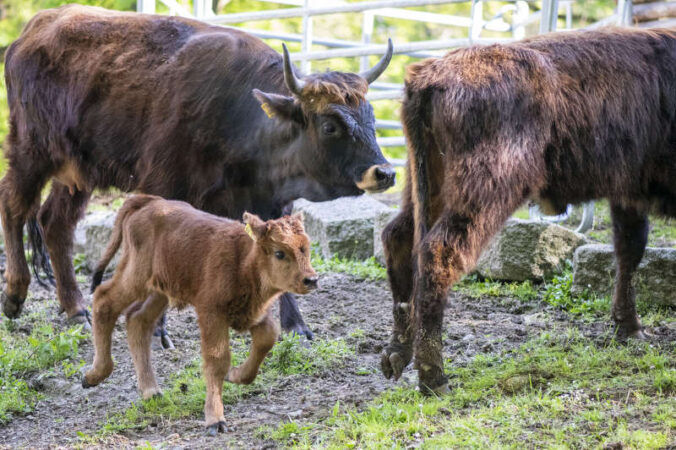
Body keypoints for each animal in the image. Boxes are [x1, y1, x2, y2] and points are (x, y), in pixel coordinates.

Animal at [0, 3, 394, 342]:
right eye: (330, 125)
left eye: (371, 118)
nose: (385, 173)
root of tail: (32, 32)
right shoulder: (164, 188)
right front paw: (157, 329)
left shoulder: (268, 203)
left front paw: (296, 326)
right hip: (32, 151)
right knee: (15, 206)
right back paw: (15, 295)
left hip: (76, 173)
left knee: (55, 223)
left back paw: (76, 309)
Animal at [82, 193, 316, 432]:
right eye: (279, 253)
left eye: (306, 248)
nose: (311, 280)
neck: (243, 259)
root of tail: (148, 201)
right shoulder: (211, 315)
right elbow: (217, 360)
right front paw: (216, 420)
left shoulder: (252, 314)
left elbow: (267, 338)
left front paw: (235, 375)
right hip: (135, 278)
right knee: (104, 300)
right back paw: (93, 376)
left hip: (160, 291)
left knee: (138, 320)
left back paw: (151, 392)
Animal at [380, 28, 676, 394]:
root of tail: (429, 76)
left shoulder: (627, 193)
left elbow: (629, 250)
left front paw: (630, 329)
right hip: (487, 190)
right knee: (439, 252)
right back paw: (435, 378)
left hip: (424, 182)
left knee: (398, 237)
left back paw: (396, 354)